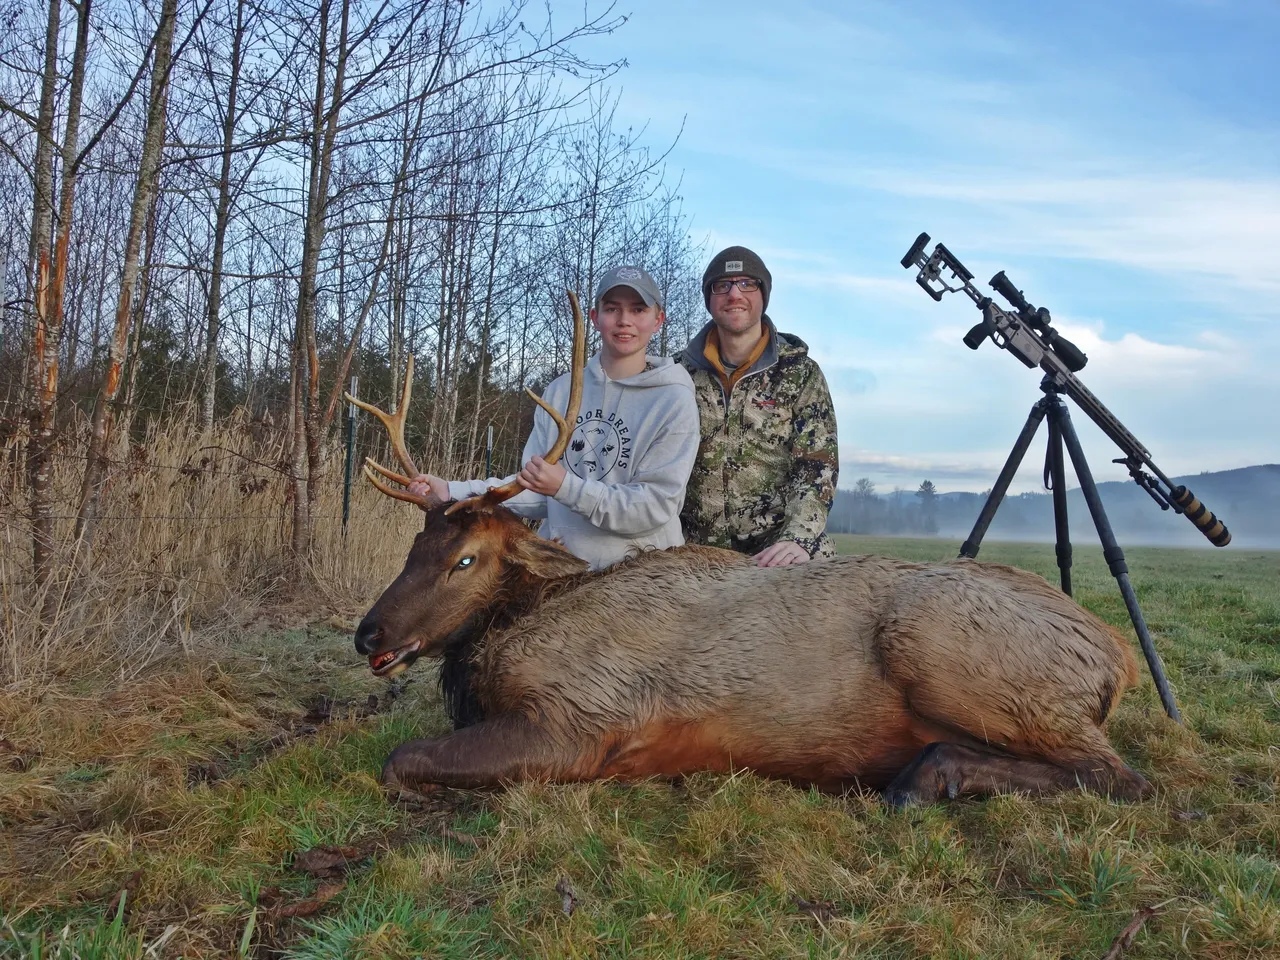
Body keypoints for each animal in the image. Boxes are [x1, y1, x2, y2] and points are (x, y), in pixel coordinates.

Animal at [346, 291, 1152, 806]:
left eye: (467, 559)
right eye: (416, 544)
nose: (368, 633)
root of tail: (1116, 658)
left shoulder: (580, 717)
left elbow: (398, 759)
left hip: (949, 653)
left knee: (1120, 776)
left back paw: (924, 779)